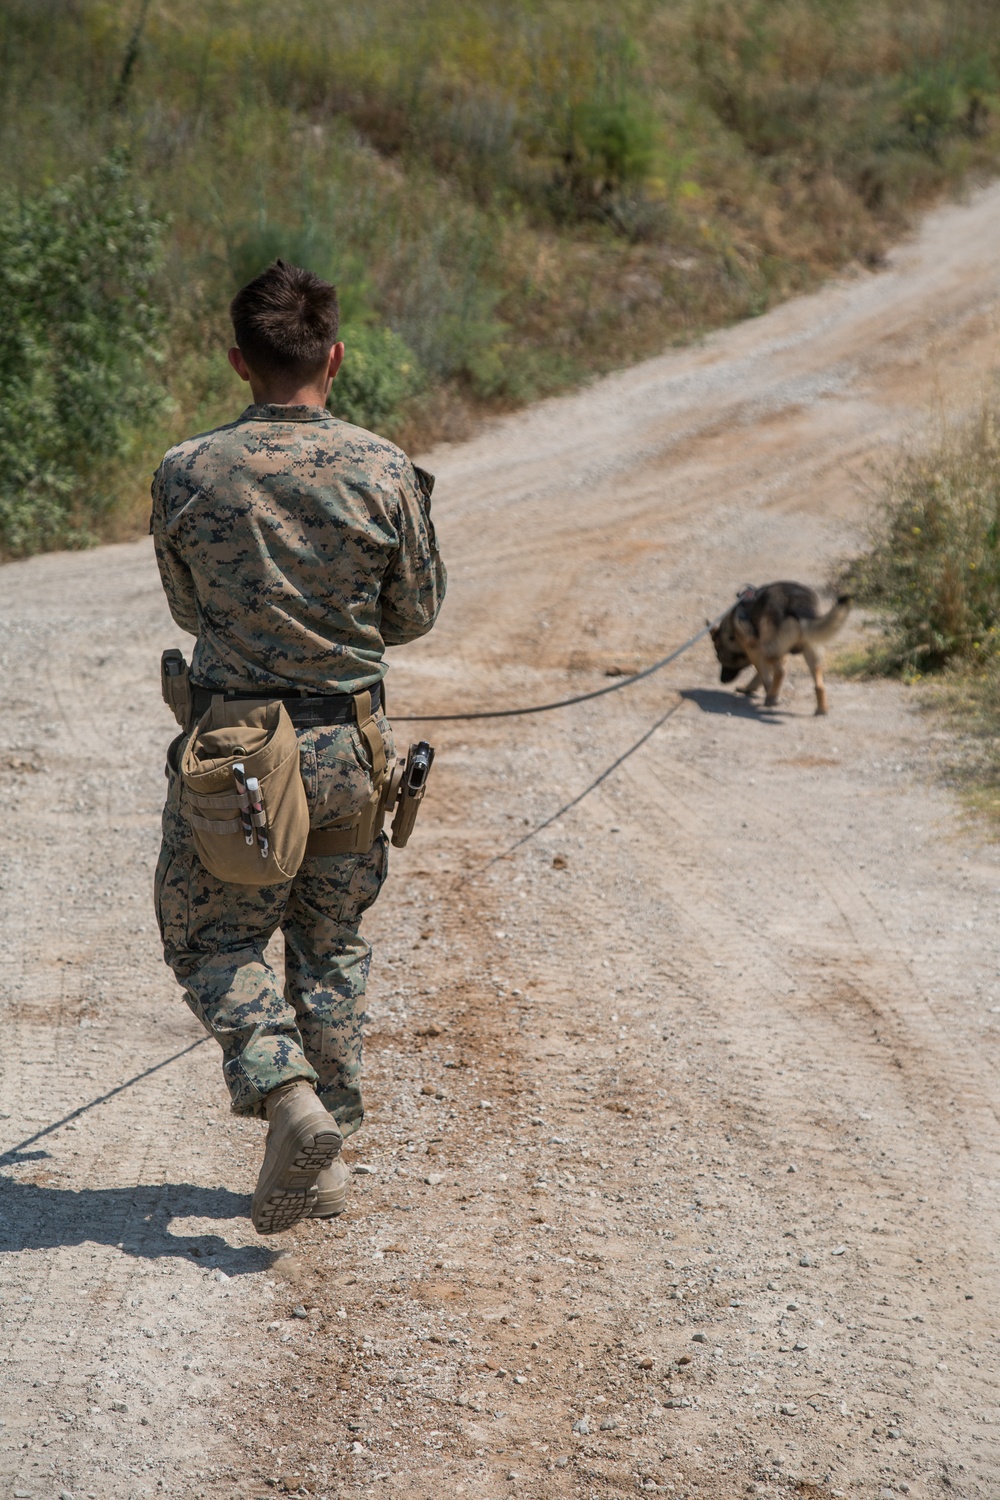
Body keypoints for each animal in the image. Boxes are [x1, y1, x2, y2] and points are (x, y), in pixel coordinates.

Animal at [710, 579, 851, 714]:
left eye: (720, 658)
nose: (722, 680)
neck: (732, 629)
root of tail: (798, 603)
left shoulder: (754, 650)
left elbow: (763, 674)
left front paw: (766, 692)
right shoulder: (779, 654)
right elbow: (761, 675)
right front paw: (750, 688)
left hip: (769, 650)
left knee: (780, 672)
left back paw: (771, 698)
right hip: (812, 652)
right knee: (820, 685)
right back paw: (822, 709)